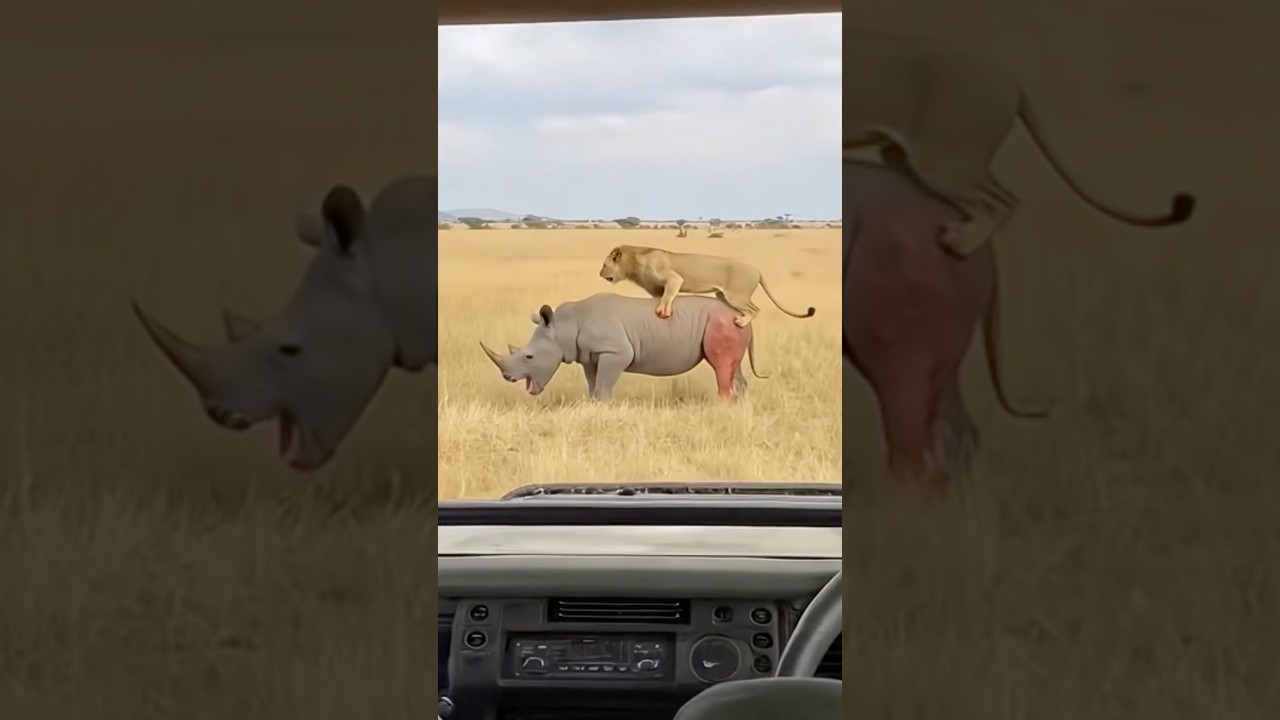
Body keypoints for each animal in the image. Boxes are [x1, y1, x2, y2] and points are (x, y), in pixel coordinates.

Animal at [480, 293, 767, 402]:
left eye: (528, 356)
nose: (507, 377)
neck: (563, 327)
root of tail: (743, 317)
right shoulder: (590, 356)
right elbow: (593, 383)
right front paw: (592, 406)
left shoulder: (615, 351)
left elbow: (604, 384)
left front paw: (602, 406)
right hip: (731, 326)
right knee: (731, 367)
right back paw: (739, 407)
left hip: (722, 323)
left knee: (721, 366)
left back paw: (722, 407)